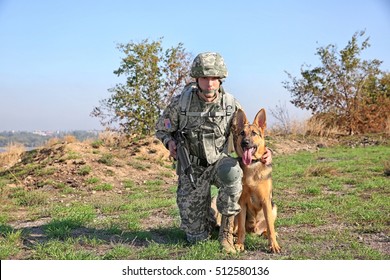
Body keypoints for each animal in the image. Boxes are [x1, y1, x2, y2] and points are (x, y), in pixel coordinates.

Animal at [232, 108, 280, 253]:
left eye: (254, 133)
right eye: (242, 133)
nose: (245, 142)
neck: (252, 165)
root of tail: (254, 231)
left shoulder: (265, 201)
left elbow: (270, 226)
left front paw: (273, 245)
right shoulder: (241, 203)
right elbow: (241, 228)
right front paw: (240, 244)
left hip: (274, 207)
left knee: (267, 227)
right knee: (237, 229)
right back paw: (235, 238)